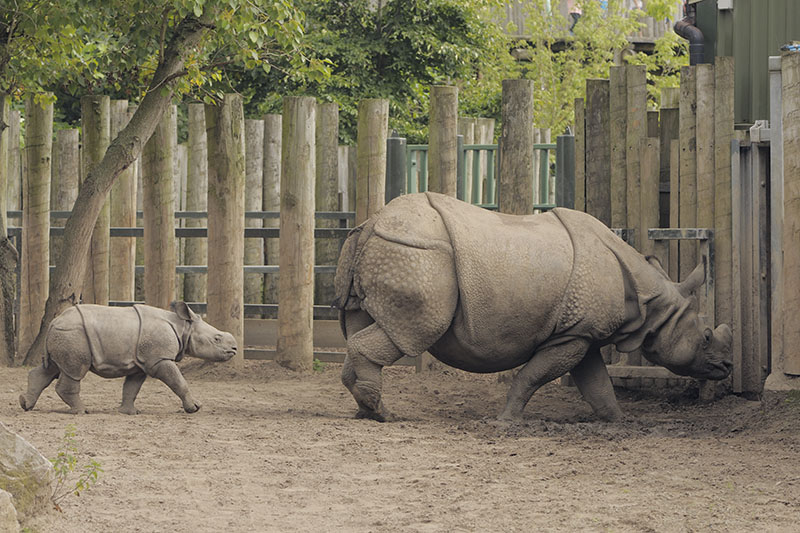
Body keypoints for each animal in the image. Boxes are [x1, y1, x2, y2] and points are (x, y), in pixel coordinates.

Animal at [19, 301, 237, 414]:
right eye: (217, 339)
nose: (234, 348)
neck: (184, 327)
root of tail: (54, 321)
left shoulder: (142, 362)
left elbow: (132, 387)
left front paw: (129, 412)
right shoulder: (159, 359)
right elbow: (179, 382)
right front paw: (194, 408)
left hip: (65, 335)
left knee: (53, 368)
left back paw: (25, 404)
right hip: (73, 335)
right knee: (74, 371)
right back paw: (83, 411)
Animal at [333, 192, 733, 422]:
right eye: (706, 336)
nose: (728, 366)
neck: (654, 301)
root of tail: (371, 222)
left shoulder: (581, 333)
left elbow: (597, 384)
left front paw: (620, 422)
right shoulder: (571, 335)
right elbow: (533, 376)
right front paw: (507, 422)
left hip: (388, 249)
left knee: (361, 324)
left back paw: (367, 410)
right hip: (417, 253)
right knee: (412, 330)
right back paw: (382, 413)